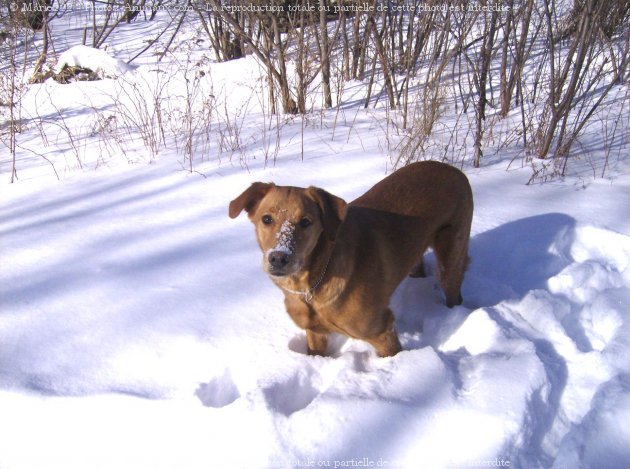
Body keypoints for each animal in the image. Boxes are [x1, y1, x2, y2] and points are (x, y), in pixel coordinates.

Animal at [228, 160, 474, 354]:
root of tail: (453, 169)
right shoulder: (315, 334)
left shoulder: (382, 331)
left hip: (451, 257)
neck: (312, 285)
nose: (278, 258)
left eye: (306, 222)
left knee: (454, 291)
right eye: (266, 219)